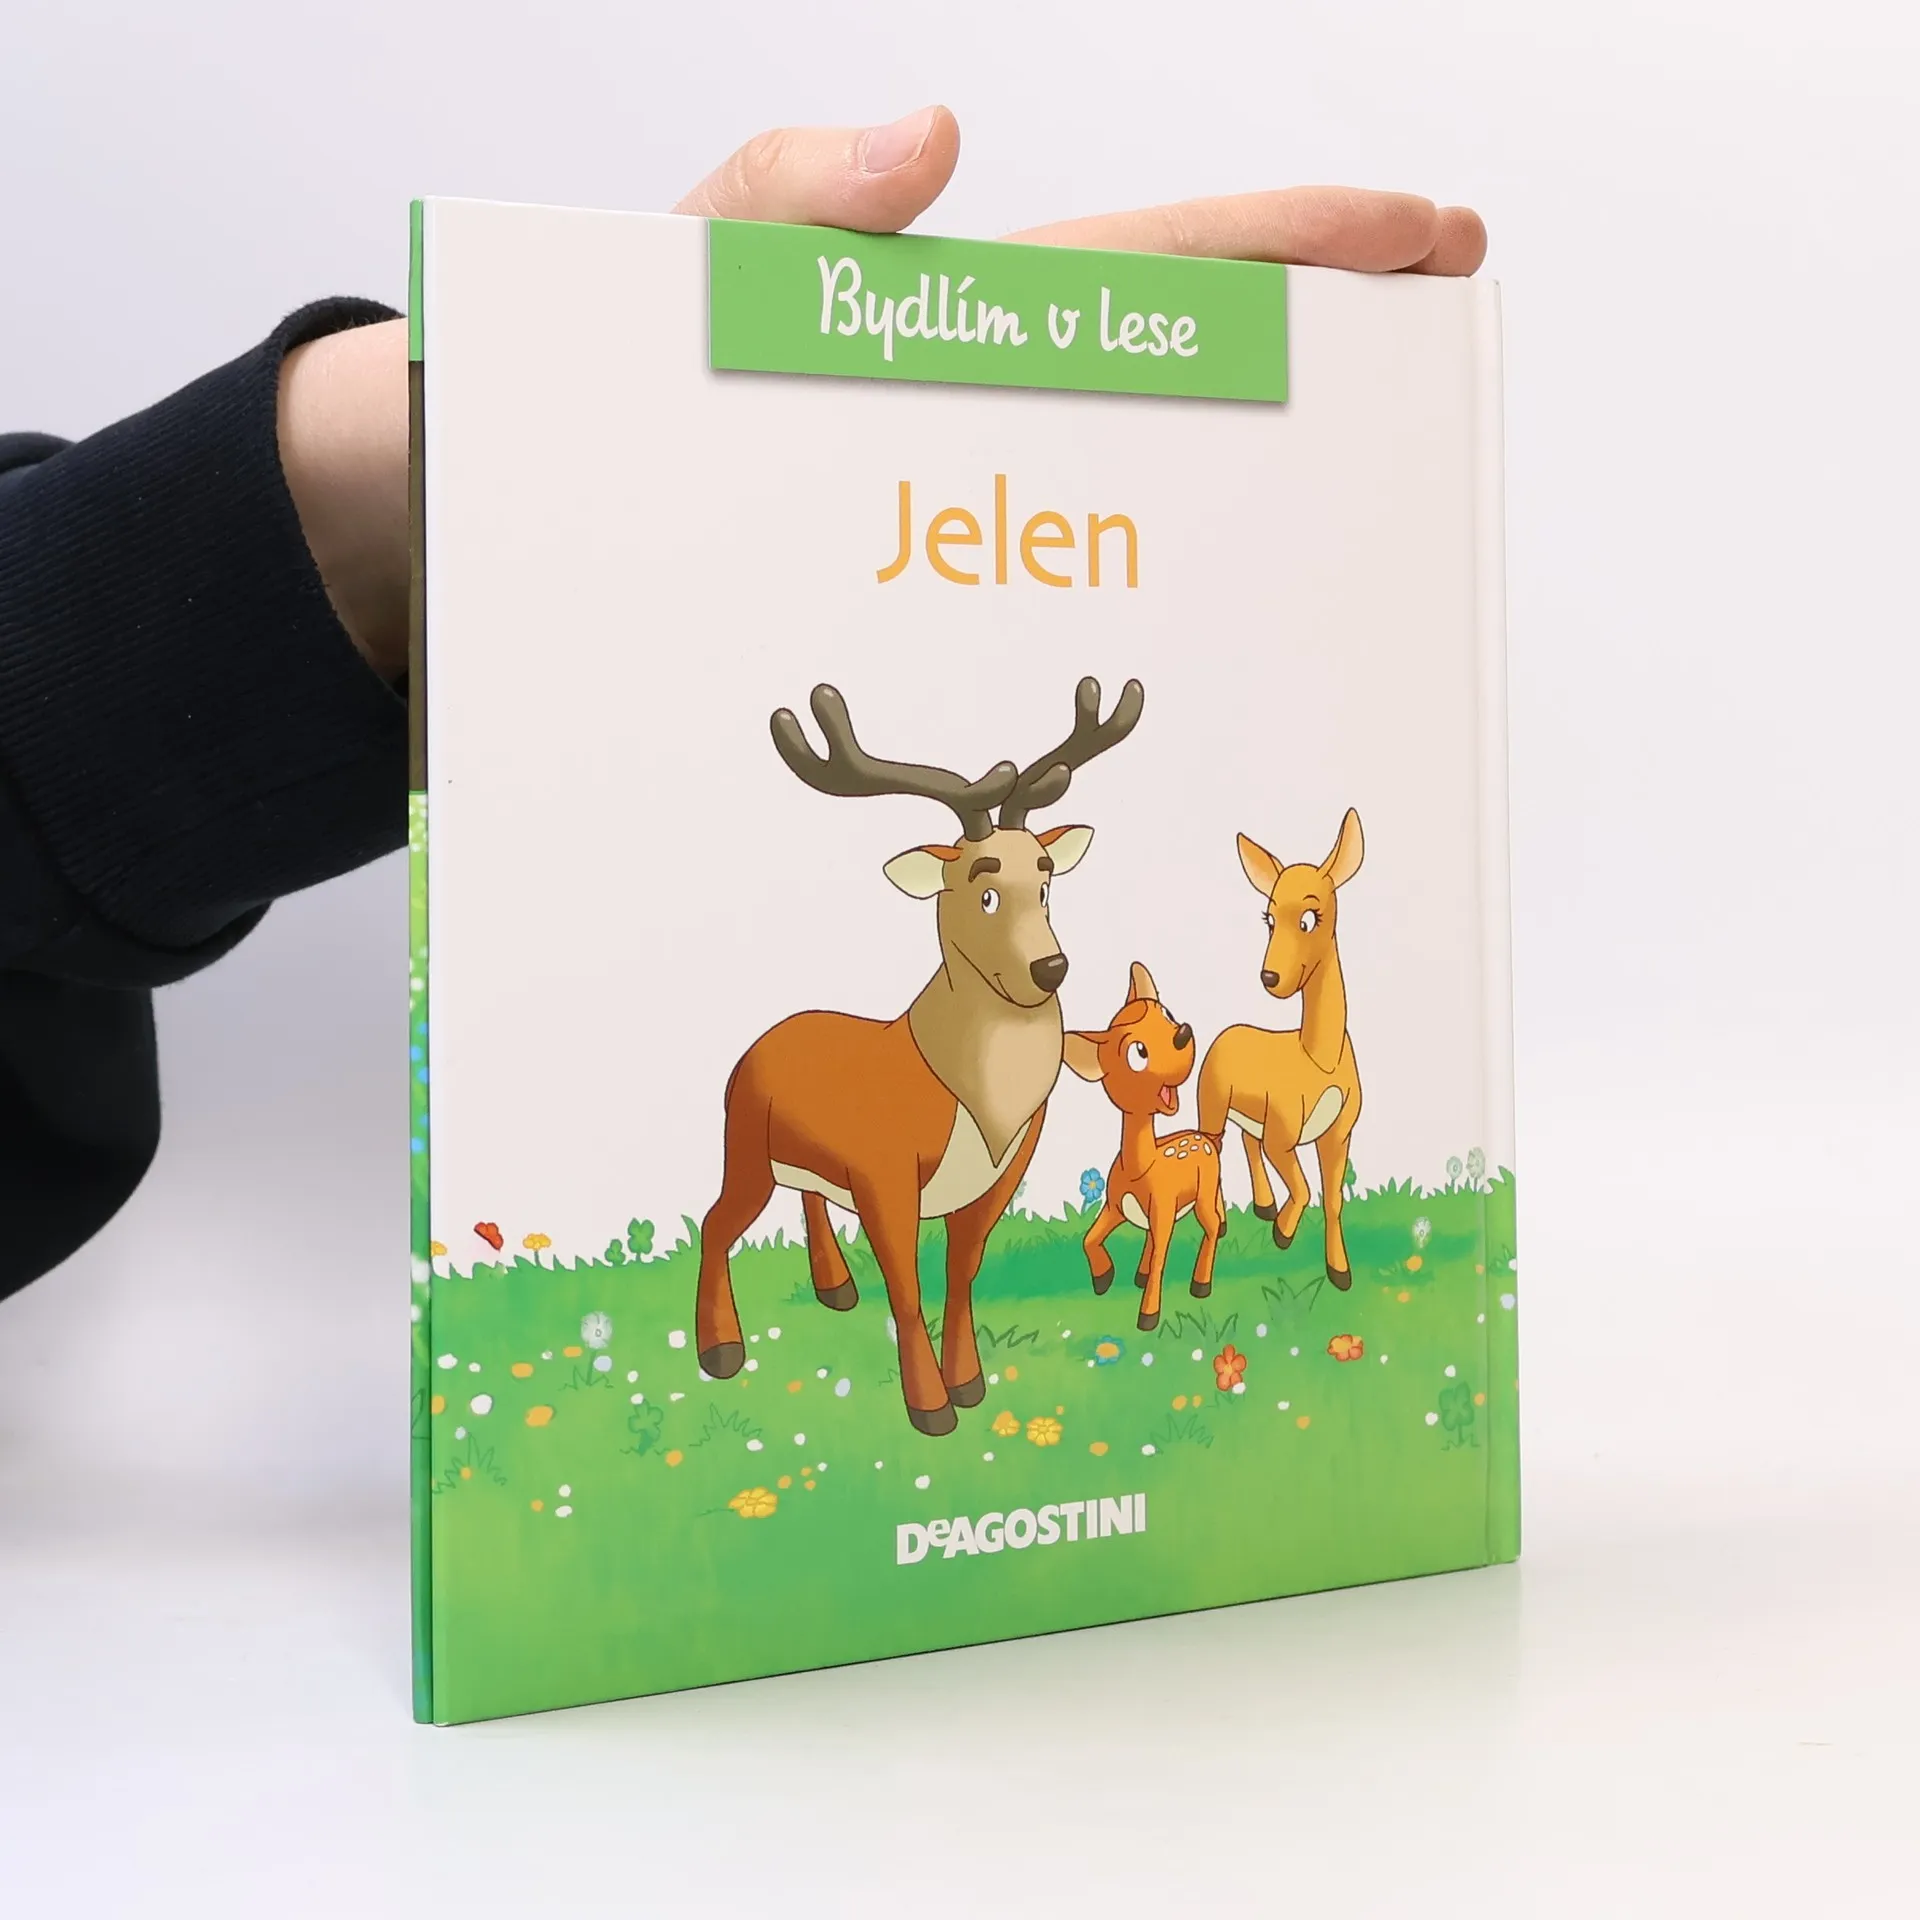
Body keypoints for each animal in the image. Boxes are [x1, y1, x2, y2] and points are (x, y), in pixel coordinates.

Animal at [695, 677, 1145, 1436]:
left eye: (1046, 883)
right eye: (984, 890)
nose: (1050, 968)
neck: (978, 1104)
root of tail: (764, 1040)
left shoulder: (1002, 1174)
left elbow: (962, 1275)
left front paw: (970, 1386)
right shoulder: (884, 1172)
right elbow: (905, 1285)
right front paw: (931, 1409)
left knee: (808, 1197)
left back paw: (836, 1290)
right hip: (745, 1145)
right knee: (715, 1222)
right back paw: (721, 1351)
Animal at [1065, 962, 1226, 1332]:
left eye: (1167, 1014)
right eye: (1138, 1052)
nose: (1183, 1033)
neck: (1142, 1167)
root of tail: (1206, 1138)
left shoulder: (1164, 1211)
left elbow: (1161, 1260)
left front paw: (1148, 1316)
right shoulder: (1114, 1206)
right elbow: (1088, 1238)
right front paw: (1103, 1278)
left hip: (1203, 1193)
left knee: (1211, 1226)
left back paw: (1201, 1284)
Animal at [1197, 809, 1365, 1291]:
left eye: (1310, 917)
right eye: (1268, 918)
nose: (1269, 977)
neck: (1318, 1060)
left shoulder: (1338, 1132)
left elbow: (1331, 1198)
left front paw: (1340, 1271)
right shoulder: (1283, 1135)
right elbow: (1305, 1189)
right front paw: (1283, 1234)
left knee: (1245, 1141)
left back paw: (1264, 1204)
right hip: (1210, 1104)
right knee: (1216, 1148)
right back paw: (1232, 1220)